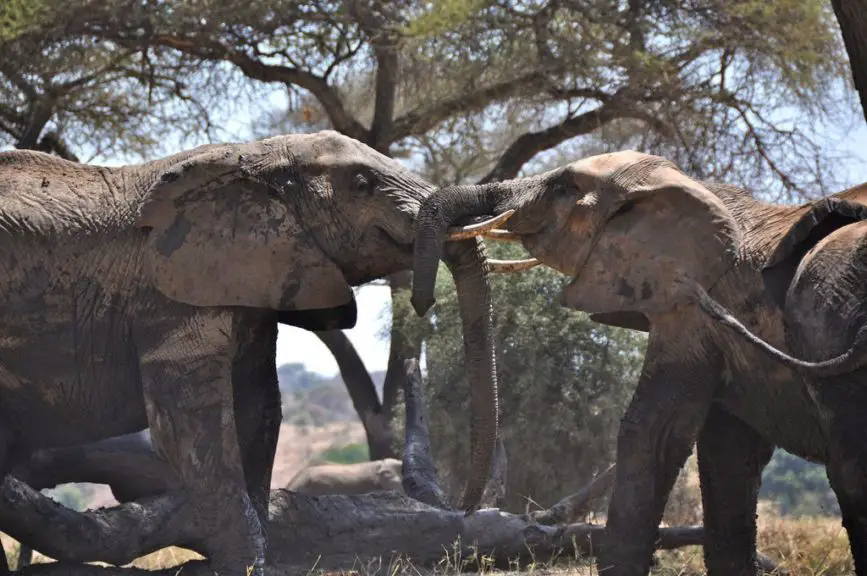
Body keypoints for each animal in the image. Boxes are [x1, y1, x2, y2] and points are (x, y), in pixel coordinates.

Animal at [0, 132, 502, 576]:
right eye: (362, 185)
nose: (466, 509)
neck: (256, 156)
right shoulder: (168, 299)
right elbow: (194, 428)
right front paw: (242, 563)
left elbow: (259, 411)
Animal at [410, 150, 867, 576]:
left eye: (562, 189)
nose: (421, 303)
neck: (689, 185)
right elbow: (724, 453)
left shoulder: (688, 310)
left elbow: (649, 431)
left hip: (828, 305)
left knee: (850, 470)